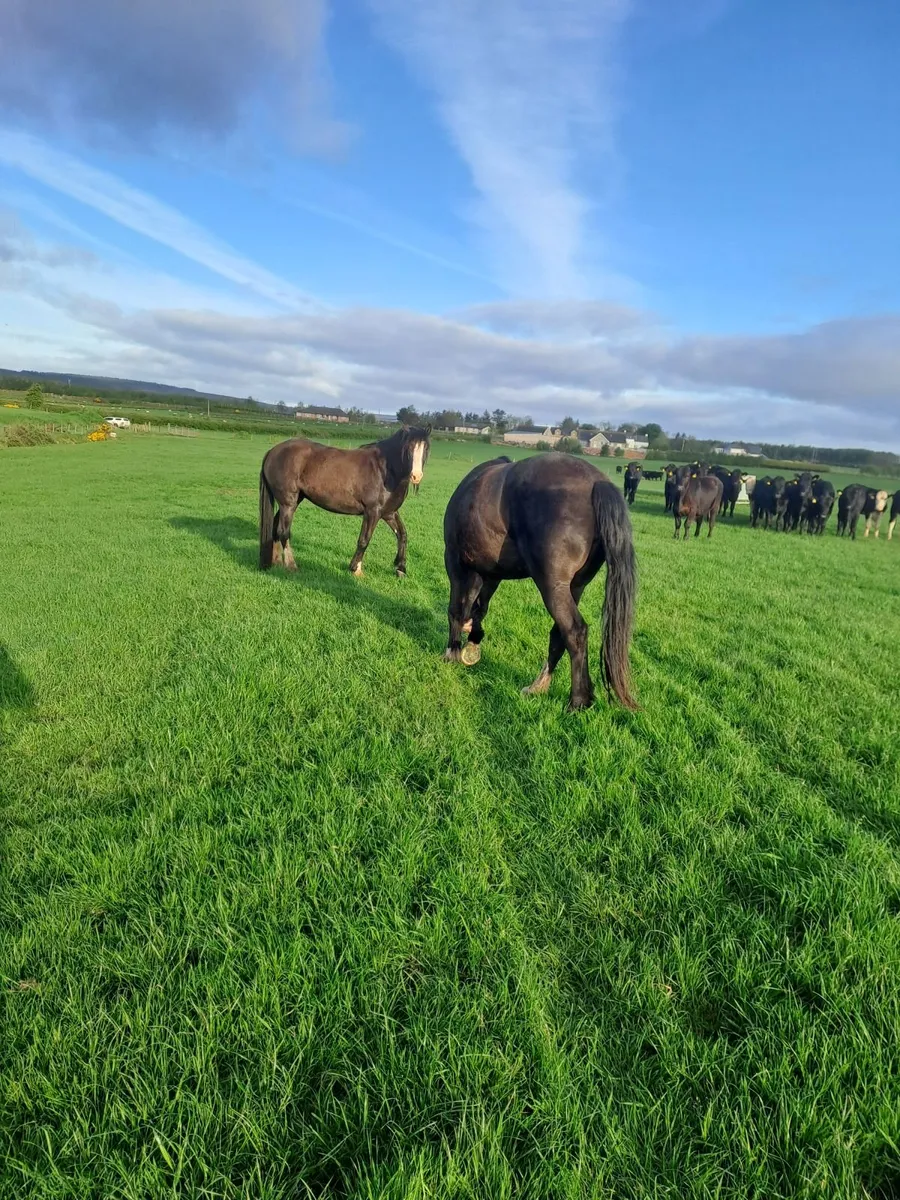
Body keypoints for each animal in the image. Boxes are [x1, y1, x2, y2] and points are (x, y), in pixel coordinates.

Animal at [259, 425, 431, 576]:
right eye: (408, 447)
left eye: (426, 448)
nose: (416, 476)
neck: (385, 471)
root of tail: (272, 451)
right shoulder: (372, 511)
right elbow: (364, 540)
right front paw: (355, 569)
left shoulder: (389, 513)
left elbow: (402, 535)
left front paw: (401, 568)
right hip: (288, 503)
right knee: (284, 532)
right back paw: (291, 565)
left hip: (290, 502)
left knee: (276, 528)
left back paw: (276, 562)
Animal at [442, 453, 638, 712]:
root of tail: (597, 483)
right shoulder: (491, 574)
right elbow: (479, 607)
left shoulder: (455, 560)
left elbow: (456, 609)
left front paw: (452, 653)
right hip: (575, 587)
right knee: (559, 635)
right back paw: (540, 686)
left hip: (551, 587)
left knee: (574, 631)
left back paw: (577, 701)